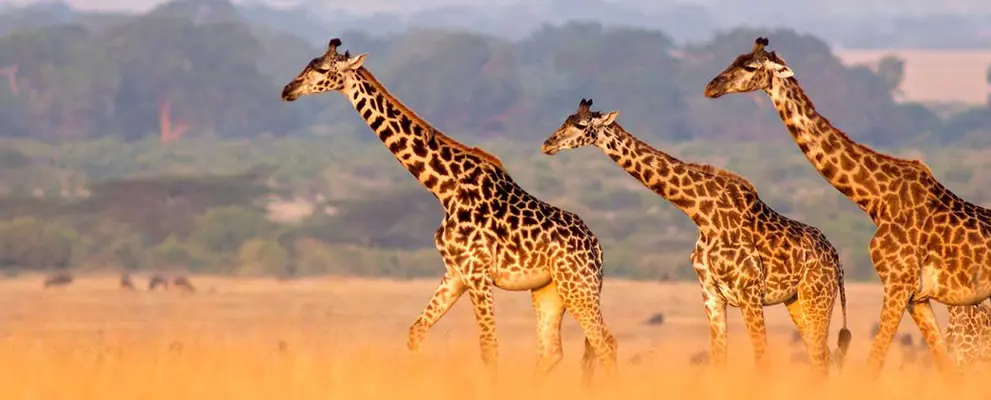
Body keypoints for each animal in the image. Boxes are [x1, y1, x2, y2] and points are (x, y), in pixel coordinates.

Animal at [280, 38, 617, 381]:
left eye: (322, 69)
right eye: (309, 64)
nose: (287, 90)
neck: (444, 189)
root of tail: (597, 248)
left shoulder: (477, 272)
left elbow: (489, 347)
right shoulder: (455, 273)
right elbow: (415, 332)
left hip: (578, 285)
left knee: (605, 342)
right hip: (549, 290)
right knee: (554, 351)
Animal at [540, 98, 851, 375]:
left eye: (580, 125)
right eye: (565, 119)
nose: (547, 144)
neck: (702, 214)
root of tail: (837, 259)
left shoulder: (749, 293)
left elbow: (762, 360)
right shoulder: (711, 293)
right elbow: (718, 361)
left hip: (817, 296)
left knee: (821, 358)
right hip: (796, 300)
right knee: (819, 356)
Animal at [703, 36, 991, 377]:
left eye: (749, 67)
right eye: (734, 58)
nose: (711, 87)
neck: (875, 198)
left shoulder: (897, 283)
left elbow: (874, 363)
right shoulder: (915, 296)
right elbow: (943, 366)